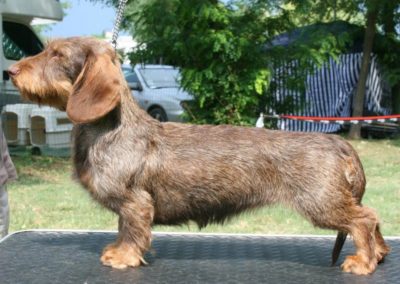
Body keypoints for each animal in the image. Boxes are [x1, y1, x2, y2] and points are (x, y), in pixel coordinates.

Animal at [8, 36, 390, 274]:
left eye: (58, 55)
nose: (10, 71)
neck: (111, 128)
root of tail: (338, 143)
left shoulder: (135, 202)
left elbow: (133, 231)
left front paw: (124, 257)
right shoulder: (130, 206)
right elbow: (123, 229)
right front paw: (117, 250)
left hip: (321, 204)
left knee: (364, 219)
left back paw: (363, 261)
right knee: (371, 218)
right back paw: (380, 254)